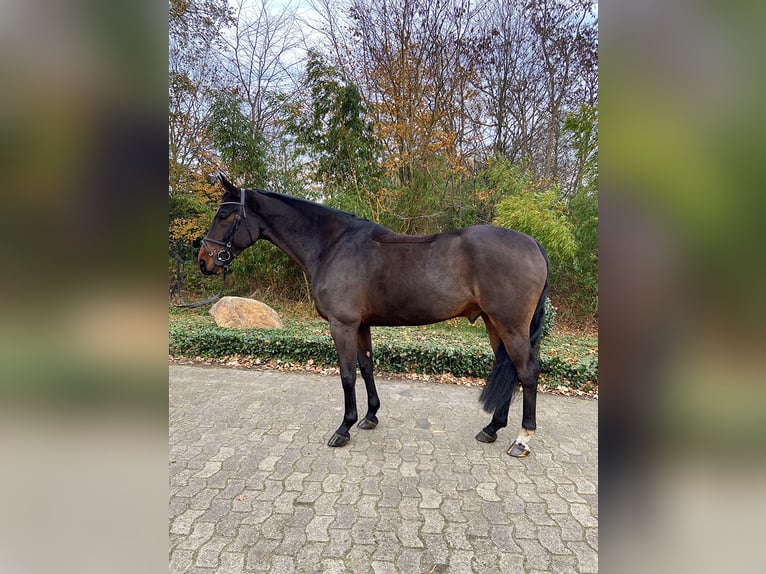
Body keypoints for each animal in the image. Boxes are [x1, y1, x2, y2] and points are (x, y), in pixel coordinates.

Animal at [198, 174, 549, 457]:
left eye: (225, 214)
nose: (204, 261)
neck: (332, 246)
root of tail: (533, 243)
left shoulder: (342, 325)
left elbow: (347, 374)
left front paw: (343, 428)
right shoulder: (361, 325)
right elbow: (366, 367)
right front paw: (370, 417)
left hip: (510, 325)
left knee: (527, 372)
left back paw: (522, 439)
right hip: (494, 324)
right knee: (509, 370)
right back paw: (492, 428)